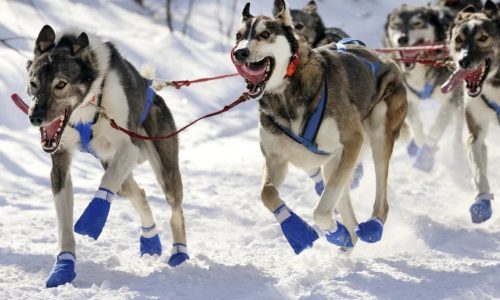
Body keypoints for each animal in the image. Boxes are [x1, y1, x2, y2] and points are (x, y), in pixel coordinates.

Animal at [26, 25, 188, 288]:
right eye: (33, 83)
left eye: (60, 84)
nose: (35, 117)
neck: (88, 107)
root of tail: (153, 90)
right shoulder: (60, 162)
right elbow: (64, 226)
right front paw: (63, 267)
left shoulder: (129, 147)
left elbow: (106, 183)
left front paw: (92, 219)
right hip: (117, 171)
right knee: (139, 194)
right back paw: (150, 240)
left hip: (165, 169)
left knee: (176, 210)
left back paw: (180, 252)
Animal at [232, 0, 408, 254]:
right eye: (238, 36)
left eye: (265, 34)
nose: (240, 52)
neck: (285, 94)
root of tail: (384, 58)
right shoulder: (276, 160)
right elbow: (267, 194)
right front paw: (297, 228)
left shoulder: (352, 139)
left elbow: (321, 210)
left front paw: (333, 232)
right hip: (335, 162)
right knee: (345, 205)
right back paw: (348, 241)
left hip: (377, 134)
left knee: (380, 199)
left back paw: (372, 226)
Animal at [384, 2, 466, 173]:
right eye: (396, 24)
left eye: (417, 23)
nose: (402, 39)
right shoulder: (407, 99)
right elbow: (416, 125)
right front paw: (420, 144)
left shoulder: (450, 99)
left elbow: (437, 127)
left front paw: (426, 154)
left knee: (459, 125)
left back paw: (457, 151)